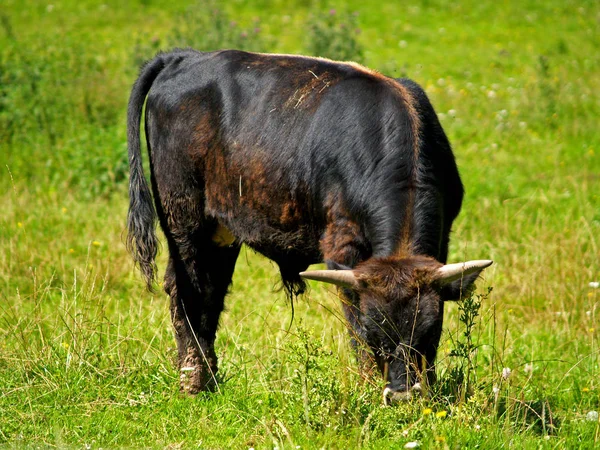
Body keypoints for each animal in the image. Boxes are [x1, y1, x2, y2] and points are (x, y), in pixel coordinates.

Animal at [126, 49, 492, 404]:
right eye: (376, 334)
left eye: (430, 332)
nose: (402, 396)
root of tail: (184, 56)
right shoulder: (342, 249)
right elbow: (353, 323)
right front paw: (368, 385)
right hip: (183, 218)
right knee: (185, 289)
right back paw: (193, 382)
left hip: (221, 229)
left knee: (210, 291)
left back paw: (209, 382)